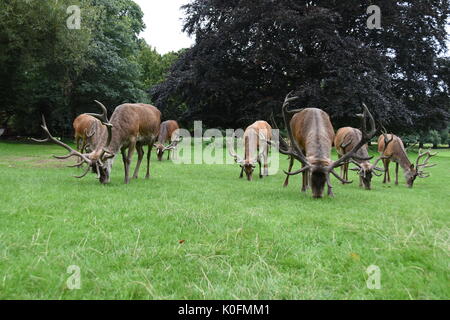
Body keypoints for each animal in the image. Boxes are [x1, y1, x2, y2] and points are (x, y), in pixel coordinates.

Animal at [34, 100, 162, 185]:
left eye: (103, 168)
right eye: (95, 171)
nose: (103, 181)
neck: (123, 129)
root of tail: (158, 111)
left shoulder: (133, 138)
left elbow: (129, 160)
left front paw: (126, 180)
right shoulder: (123, 145)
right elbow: (124, 160)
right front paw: (126, 176)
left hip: (152, 137)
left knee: (148, 155)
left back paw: (146, 175)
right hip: (140, 143)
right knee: (141, 154)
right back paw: (134, 175)